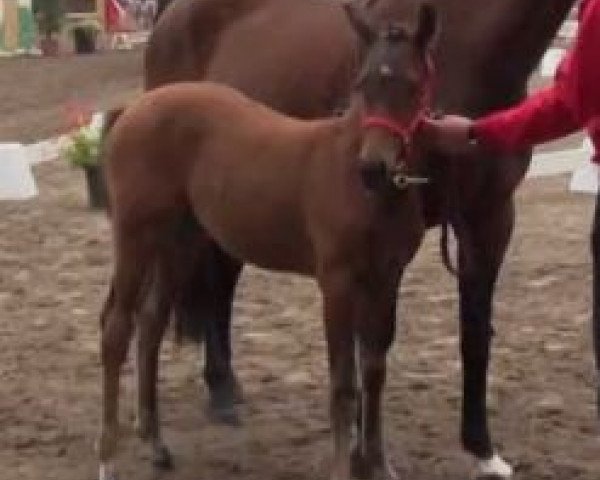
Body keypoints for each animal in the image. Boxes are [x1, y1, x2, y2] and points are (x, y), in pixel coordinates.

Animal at [142, 0, 580, 476]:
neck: (468, 46)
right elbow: (359, 351)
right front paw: (357, 451)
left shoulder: (489, 218)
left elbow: (473, 337)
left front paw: (481, 448)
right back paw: (220, 392)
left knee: (221, 284)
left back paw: (225, 389)